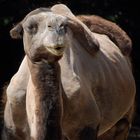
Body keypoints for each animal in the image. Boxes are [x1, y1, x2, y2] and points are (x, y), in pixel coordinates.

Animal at [1, 3, 136, 139]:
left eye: (64, 25)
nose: (57, 26)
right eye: (30, 27)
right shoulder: (10, 129)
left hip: (124, 120)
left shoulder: (86, 126)